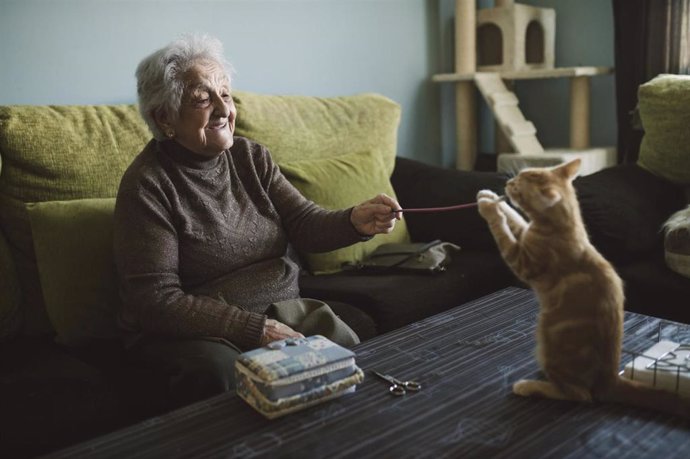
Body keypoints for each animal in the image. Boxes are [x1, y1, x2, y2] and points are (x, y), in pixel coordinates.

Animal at [476, 159, 688, 420]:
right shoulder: (526, 234)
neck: (566, 226)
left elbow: (505, 234)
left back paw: (530, 386)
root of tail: (610, 378)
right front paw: (492, 198)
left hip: (549, 337)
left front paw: (489, 209)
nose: (509, 183)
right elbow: (517, 220)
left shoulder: (524, 261)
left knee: (580, 395)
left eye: (518, 185)